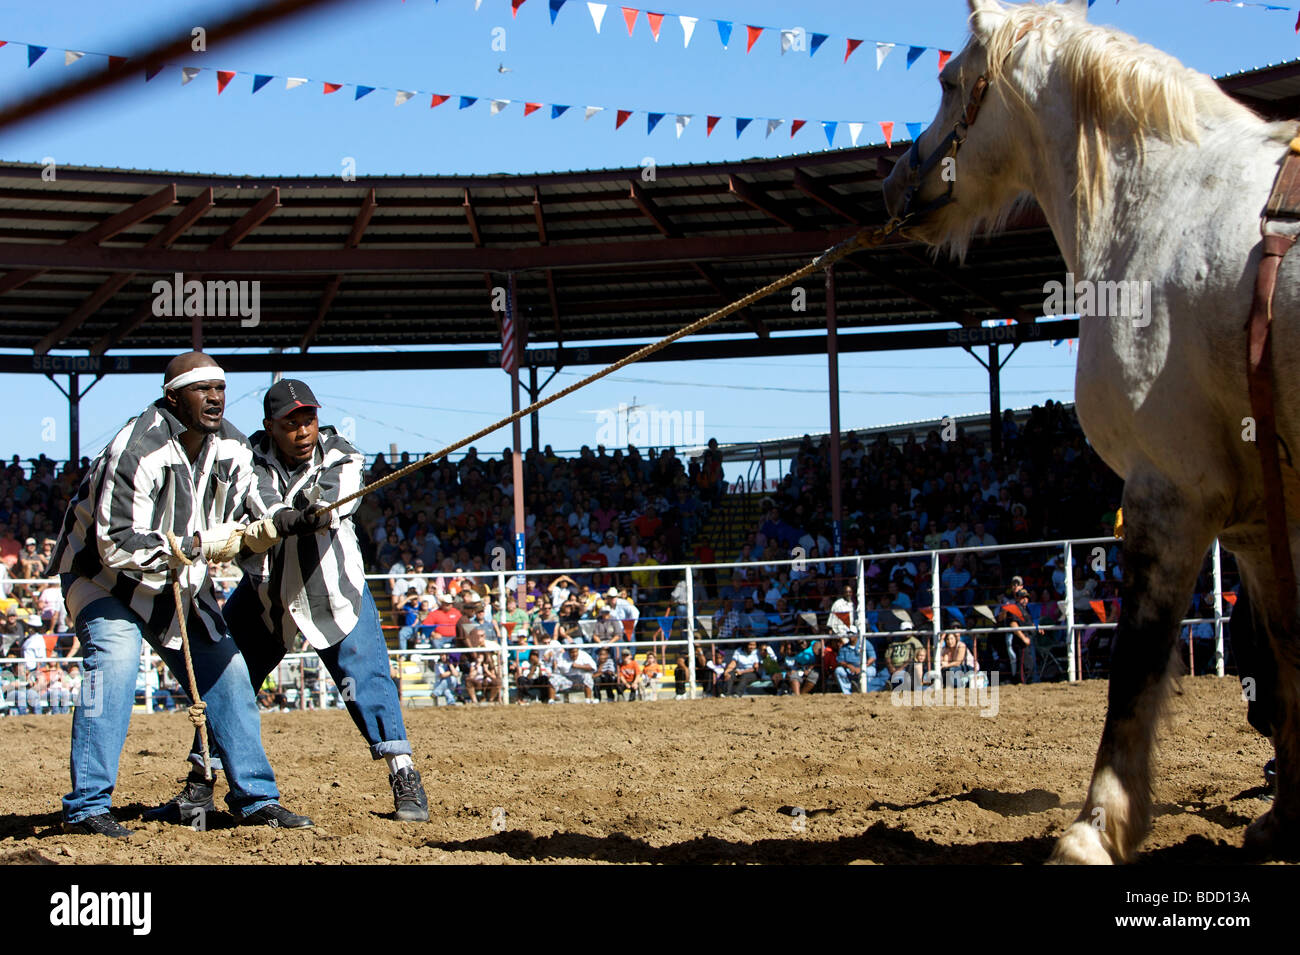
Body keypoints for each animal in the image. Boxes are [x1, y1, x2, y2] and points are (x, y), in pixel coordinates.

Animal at [889, 0, 1300, 867]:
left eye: (948, 82)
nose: (895, 183)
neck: (1169, 200)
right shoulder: (1261, 516)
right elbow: (1287, 649)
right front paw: (1287, 815)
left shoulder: (1170, 489)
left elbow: (1135, 668)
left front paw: (1093, 827)